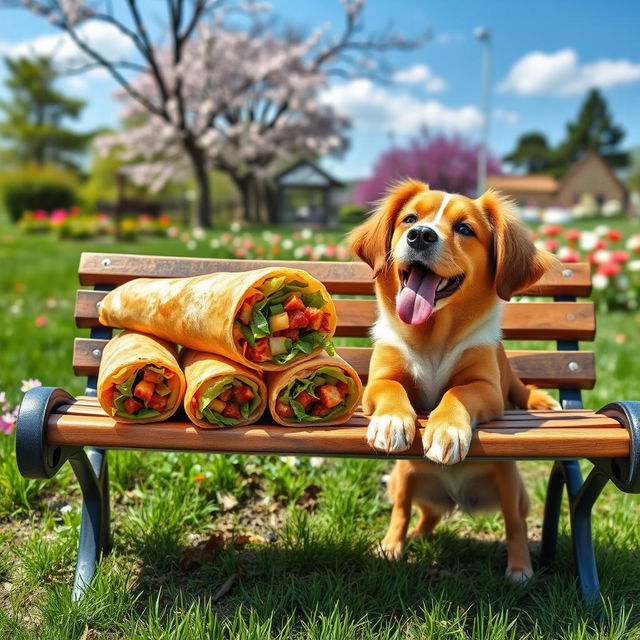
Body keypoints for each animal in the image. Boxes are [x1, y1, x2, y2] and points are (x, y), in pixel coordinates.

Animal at [350, 179, 560, 580]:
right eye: (409, 218)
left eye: (464, 228)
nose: (420, 234)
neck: (433, 336)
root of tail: (456, 498)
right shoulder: (378, 381)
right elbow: (393, 388)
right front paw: (392, 421)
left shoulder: (486, 389)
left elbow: (458, 393)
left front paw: (447, 430)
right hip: (403, 479)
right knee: (407, 512)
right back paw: (397, 545)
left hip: (512, 485)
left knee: (515, 524)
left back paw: (520, 568)